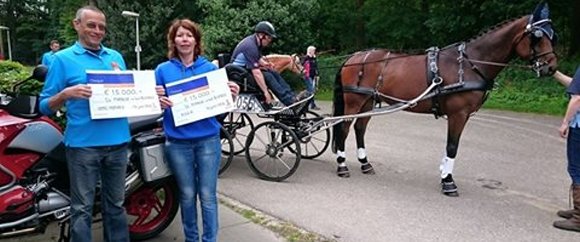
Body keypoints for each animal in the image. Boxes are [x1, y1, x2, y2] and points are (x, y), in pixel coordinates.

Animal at [330, 2, 556, 197]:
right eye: (537, 36)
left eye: (552, 35)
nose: (551, 67)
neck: (470, 64)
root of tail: (353, 57)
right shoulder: (459, 114)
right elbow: (452, 147)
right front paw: (448, 182)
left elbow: (451, 147)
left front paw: (444, 174)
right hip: (354, 101)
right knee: (343, 128)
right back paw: (342, 166)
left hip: (368, 101)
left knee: (360, 128)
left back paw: (365, 164)